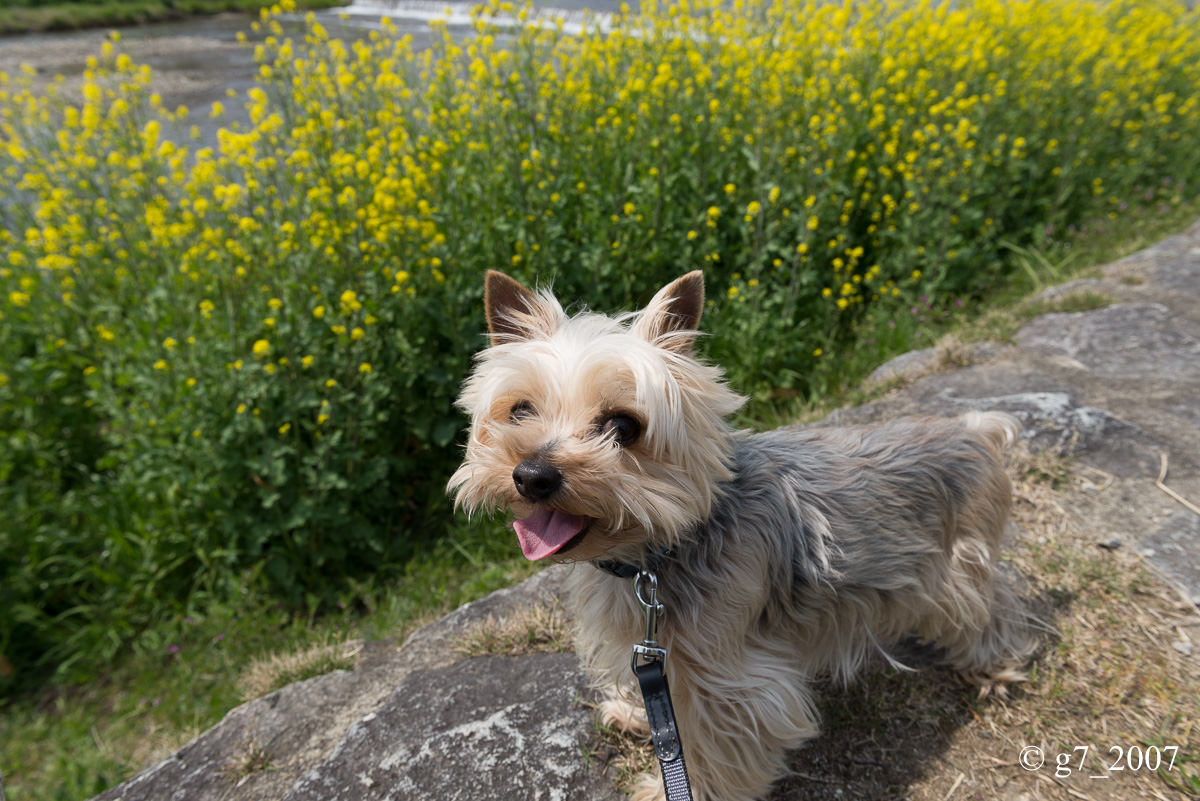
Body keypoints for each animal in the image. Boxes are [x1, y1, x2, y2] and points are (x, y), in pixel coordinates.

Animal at [446, 270, 1036, 801]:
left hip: (955, 564)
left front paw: (674, 789)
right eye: (520, 409)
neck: (655, 552)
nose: (532, 475)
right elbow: (657, 699)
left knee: (990, 604)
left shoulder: (728, 682)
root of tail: (975, 430)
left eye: (623, 427)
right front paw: (636, 713)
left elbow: (711, 748)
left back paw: (995, 666)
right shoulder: (650, 643)